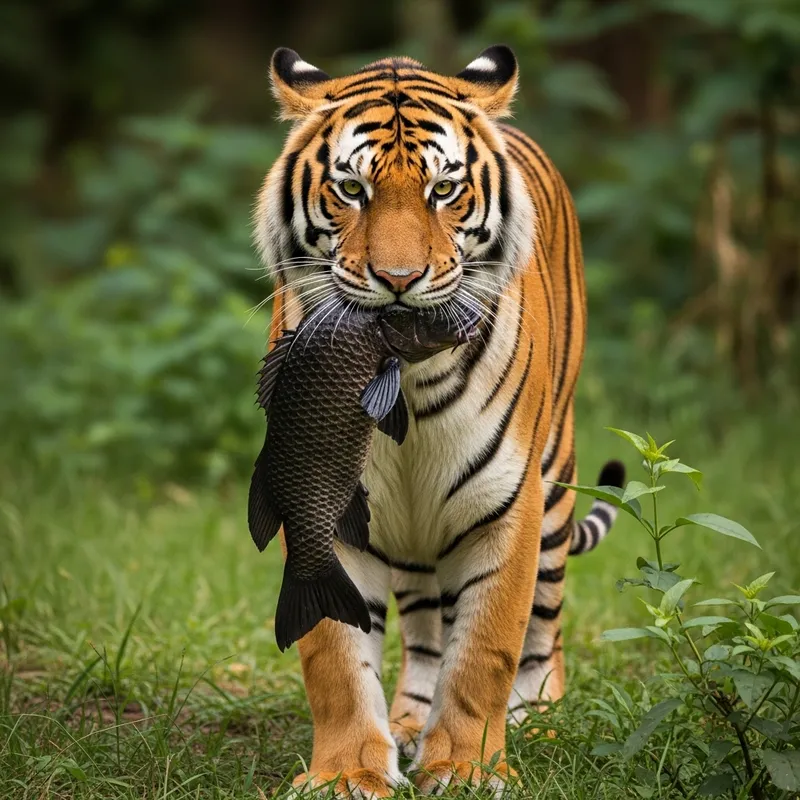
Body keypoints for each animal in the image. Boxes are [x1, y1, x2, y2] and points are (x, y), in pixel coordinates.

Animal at [253, 45, 625, 797]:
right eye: (352, 189)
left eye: (444, 191)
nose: (398, 280)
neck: (409, 381)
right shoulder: (332, 508)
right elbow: (336, 657)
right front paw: (347, 772)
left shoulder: (505, 506)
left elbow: (484, 651)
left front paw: (465, 768)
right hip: (413, 530)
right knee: (425, 628)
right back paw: (407, 724)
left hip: (554, 493)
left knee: (544, 628)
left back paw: (541, 723)